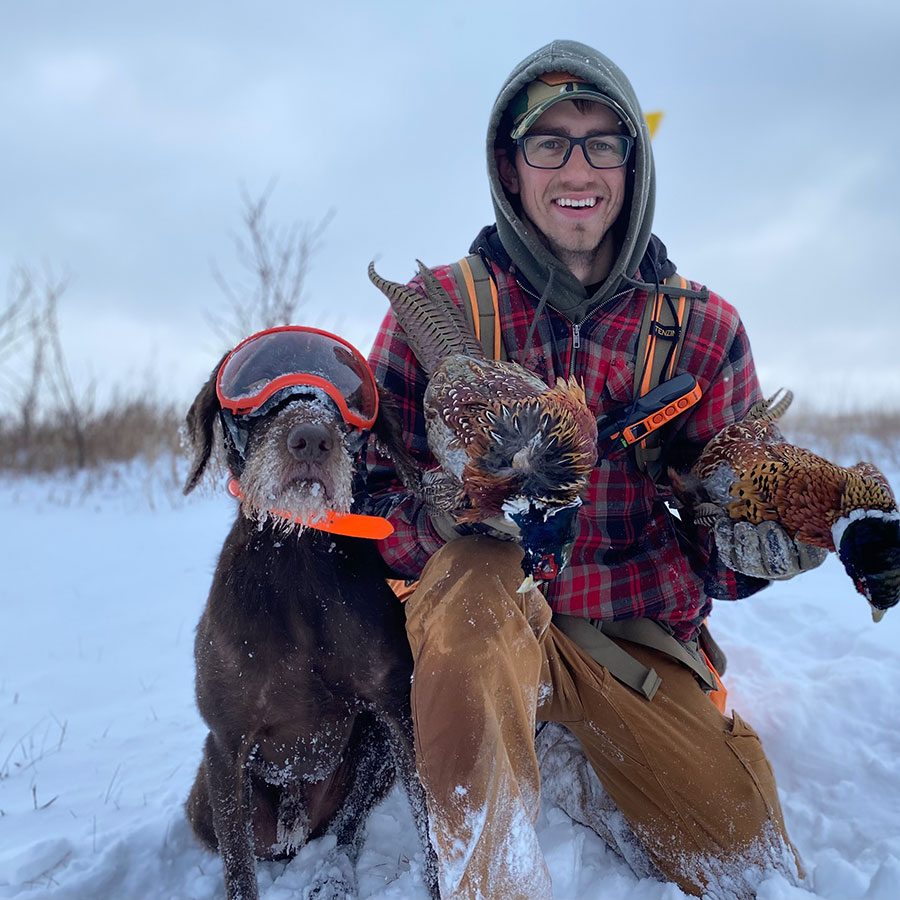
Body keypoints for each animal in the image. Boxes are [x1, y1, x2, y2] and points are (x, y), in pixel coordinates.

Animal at [182, 340, 436, 900]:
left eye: (351, 400)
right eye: (254, 383)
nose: (312, 439)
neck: (294, 556)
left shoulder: (399, 714)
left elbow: (437, 833)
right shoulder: (225, 744)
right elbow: (239, 872)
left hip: (373, 747)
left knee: (348, 828)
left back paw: (333, 878)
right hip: (206, 803)